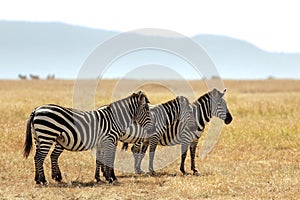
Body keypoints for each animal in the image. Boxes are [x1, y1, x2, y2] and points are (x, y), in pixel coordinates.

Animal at [23, 90, 151, 184]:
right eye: (146, 109)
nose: (151, 127)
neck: (114, 119)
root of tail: (36, 110)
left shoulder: (101, 143)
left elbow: (99, 160)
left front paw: (99, 178)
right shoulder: (109, 140)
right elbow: (109, 158)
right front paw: (109, 178)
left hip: (38, 138)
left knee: (37, 157)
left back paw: (38, 179)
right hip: (47, 136)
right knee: (40, 158)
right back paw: (44, 181)